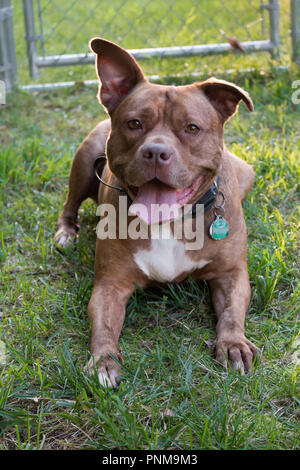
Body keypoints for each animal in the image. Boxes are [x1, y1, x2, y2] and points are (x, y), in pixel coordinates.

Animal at [54, 38, 255, 388]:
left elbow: (231, 312)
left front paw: (233, 344)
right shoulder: (110, 285)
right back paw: (66, 233)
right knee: (70, 203)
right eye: (134, 124)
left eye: (192, 128)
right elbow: (103, 326)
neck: (169, 222)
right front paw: (104, 361)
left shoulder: (231, 274)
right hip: (84, 161)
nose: (156, 152)